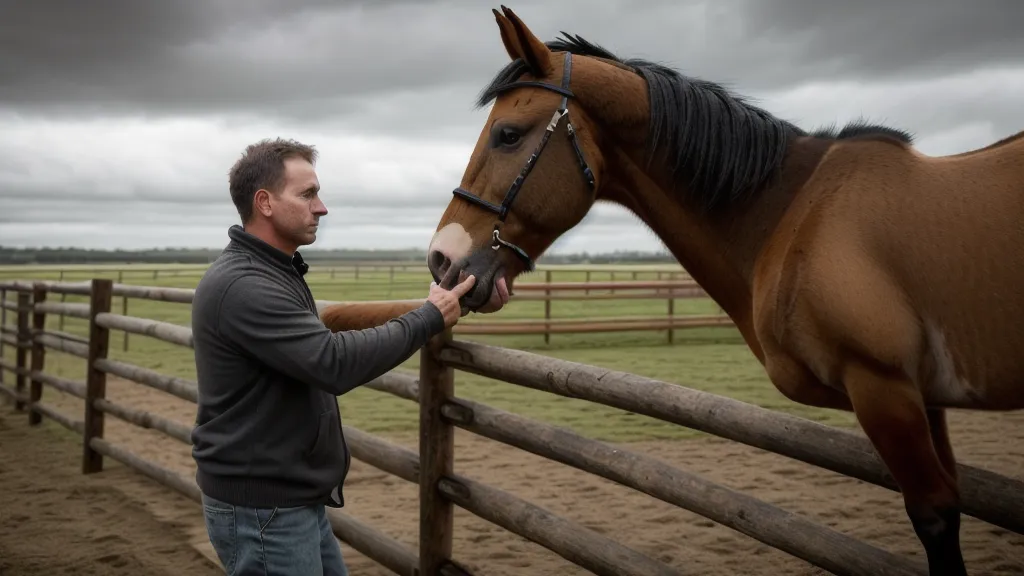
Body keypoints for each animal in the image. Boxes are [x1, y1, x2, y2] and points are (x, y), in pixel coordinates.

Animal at [320, 6, 1024, 575]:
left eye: (509, 135)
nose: (442, 259)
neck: (794, 213)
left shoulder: (885, 389)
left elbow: (936, 518)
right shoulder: (921, 397)